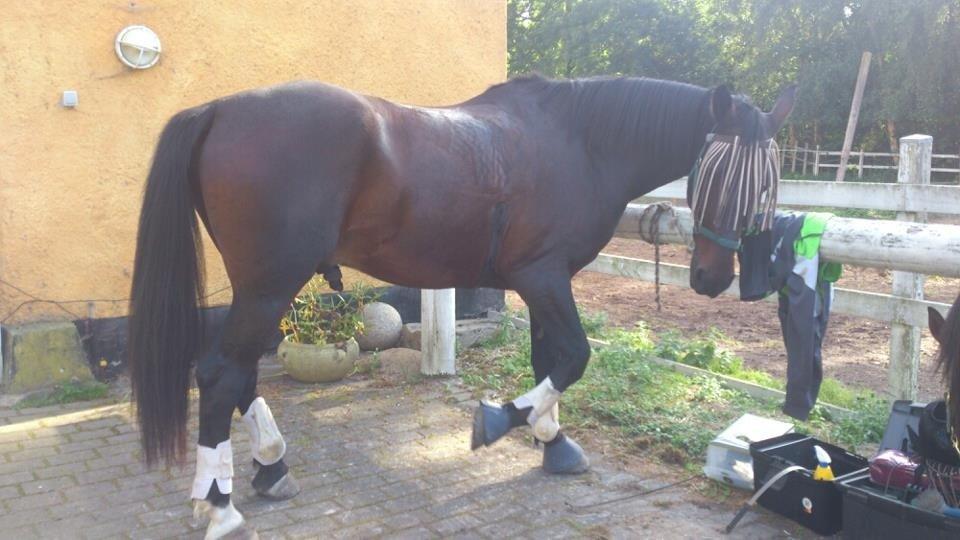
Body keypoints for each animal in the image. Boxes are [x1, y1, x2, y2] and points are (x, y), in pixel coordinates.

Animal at [131, 75, 800, 536]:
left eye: (770, 184)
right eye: (718, 172)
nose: (716, 280)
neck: (579, 143)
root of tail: (218, 109)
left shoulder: (542, 282)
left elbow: (547, 359)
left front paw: (552, 441)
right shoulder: (544, 276)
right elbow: (574, 357)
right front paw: (503, 421)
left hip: (259, 287)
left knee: (237, 372)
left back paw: (270, 467)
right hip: (270, 285)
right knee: (221, 374)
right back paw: (220, 507)